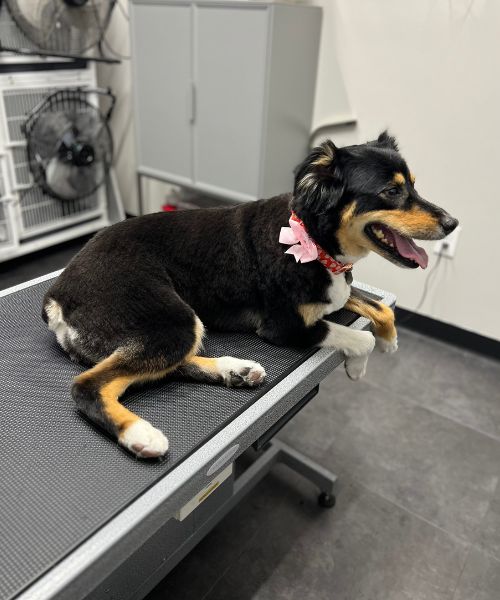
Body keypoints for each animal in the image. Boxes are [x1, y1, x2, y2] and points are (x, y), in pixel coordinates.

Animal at [42, 132, 458, 460]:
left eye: (414, 186)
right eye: (391, 192)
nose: (453, 223)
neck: (313, 240)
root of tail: (57, 295)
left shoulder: (337, 291)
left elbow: (379, 310)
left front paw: (390, 342)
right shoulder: (284, 326)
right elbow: (359, 337)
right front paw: (359, 365)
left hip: (173, 325)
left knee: (166, 365)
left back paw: (235, 371)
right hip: (170, 319)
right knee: (89, 385)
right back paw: (139, 433)